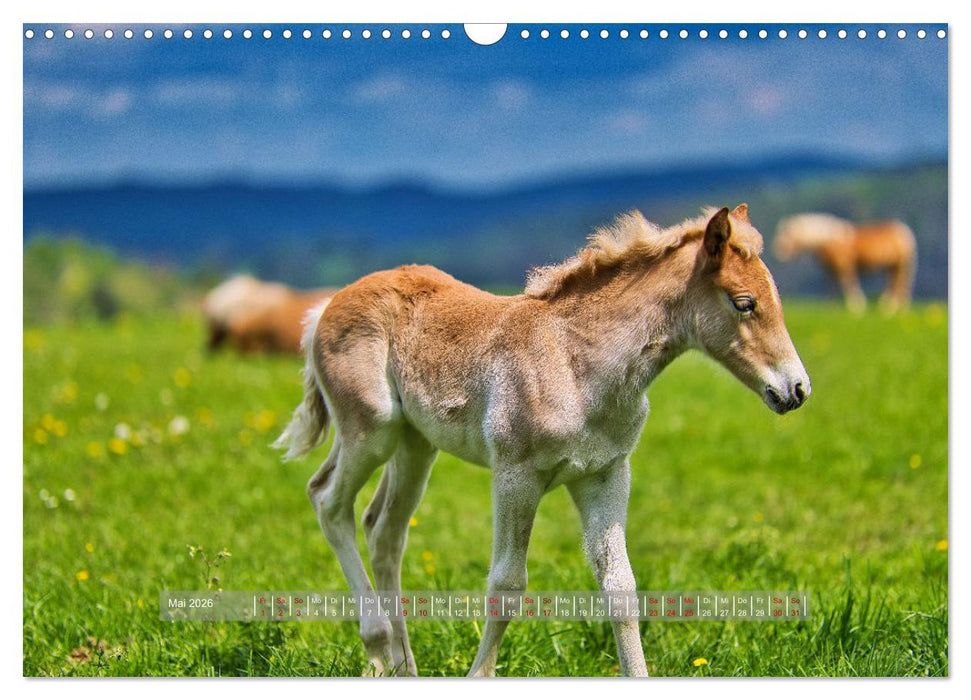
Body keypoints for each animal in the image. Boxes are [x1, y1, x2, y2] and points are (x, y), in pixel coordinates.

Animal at [274, 205, 811, 677]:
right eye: (744, 303)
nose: (797, 389)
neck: (576, 362)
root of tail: (324, 307)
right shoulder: (517, 475)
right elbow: (507, 583)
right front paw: (479, 677)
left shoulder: (606, 474)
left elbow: (620, 587)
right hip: (372, 430)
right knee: (328, 501)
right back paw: (378, 647)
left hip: (415, 444)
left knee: (384, 530)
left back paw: (405, 668)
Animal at [773, 213, 916, 314]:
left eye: (787, 235)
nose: (779, 251)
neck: (828, 240)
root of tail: (904, 230)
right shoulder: (831, 269)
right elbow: (832, 286)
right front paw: (832, 306)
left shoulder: (844, 266)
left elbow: (847, 283)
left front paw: (856, 305)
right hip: (892, 266)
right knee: (896, 283)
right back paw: (895, 306)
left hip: (901, 264)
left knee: (899, 284)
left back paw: (890, 306)